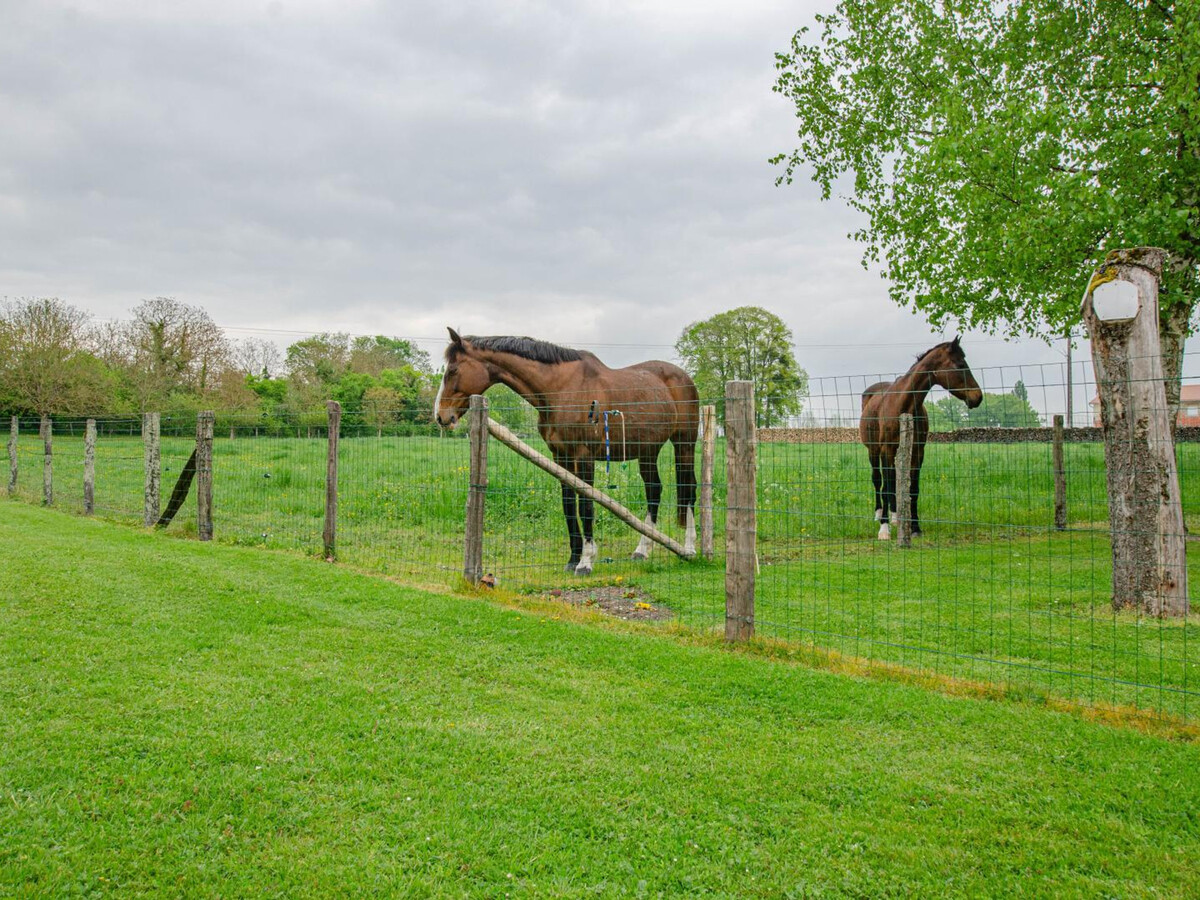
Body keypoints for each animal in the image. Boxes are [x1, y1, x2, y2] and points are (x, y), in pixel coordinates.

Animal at [434, 329, 700, 575]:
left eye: (453, 371)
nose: (441, 416)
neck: (560, 390)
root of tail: (683, 378)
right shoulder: (560, 456)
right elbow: (569, 505)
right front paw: (573, 558)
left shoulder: (584, 456)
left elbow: (586, 505)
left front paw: (586, 561)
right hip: (647, 451)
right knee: (654, 490)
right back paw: (642, 550)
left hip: (684, 444)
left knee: (688, 490)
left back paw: (690, 548)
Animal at [859, 337, 982, 540]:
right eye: (960, 364)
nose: (977, 397)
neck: (904, 405)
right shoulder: (886, 449)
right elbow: (886, 487)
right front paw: (884, 530)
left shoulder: (918, 451)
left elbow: (912, 489)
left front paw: (915, 527)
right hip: (874, 451)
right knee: (878, 481)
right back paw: (880, 515)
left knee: (894, 480)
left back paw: (896, 517)